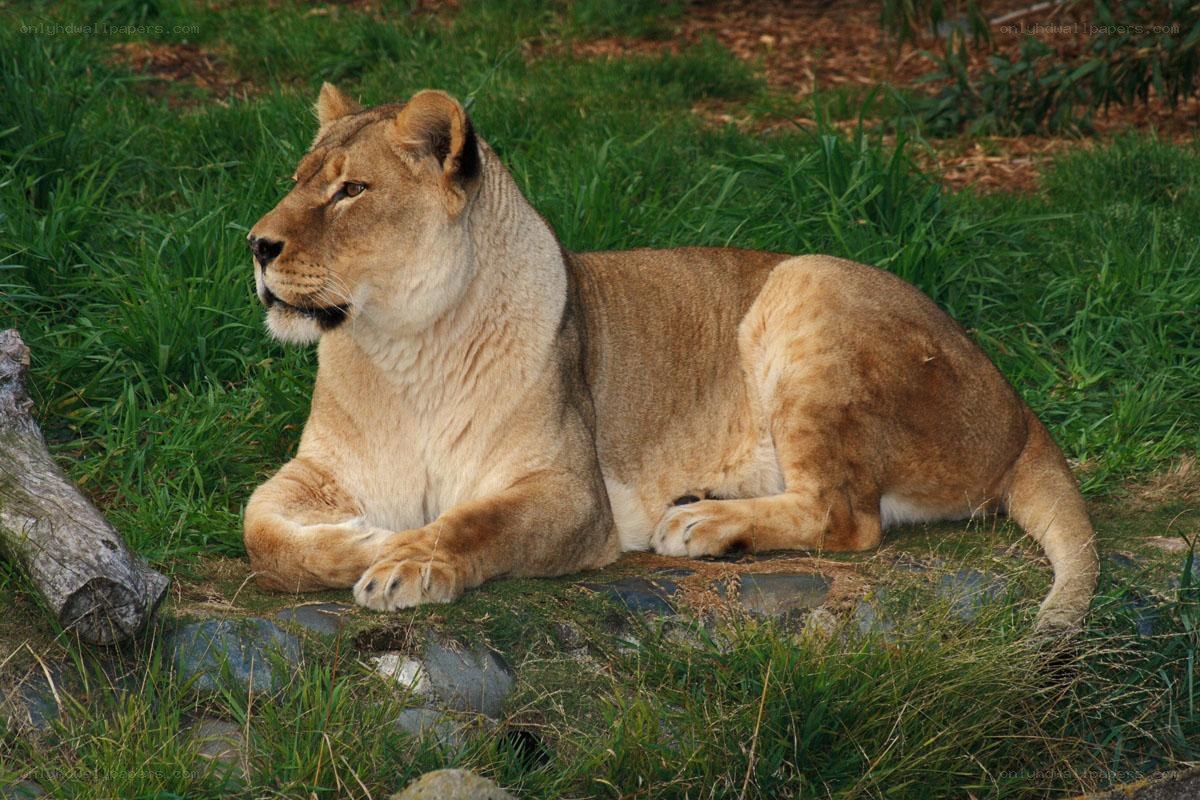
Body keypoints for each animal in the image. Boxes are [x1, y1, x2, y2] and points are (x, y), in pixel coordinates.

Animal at [244, 85, 1098, 631]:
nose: (256, 244)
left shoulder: (570, 493)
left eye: (352, 191)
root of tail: (1020, 410)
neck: (403, 348)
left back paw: (703, 526)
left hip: (805, 282)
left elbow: (479, 524)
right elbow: (260, 528)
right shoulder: (324, 472)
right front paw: (365, 541)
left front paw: (404, 562)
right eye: (295, 183)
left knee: (848, 515)